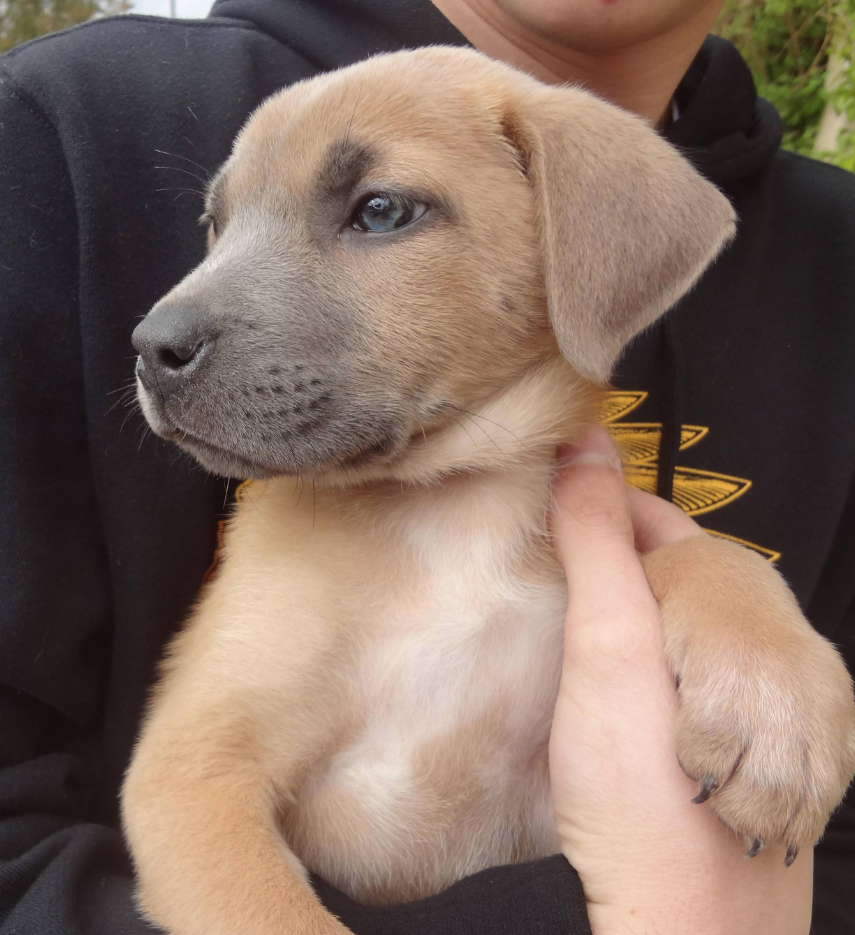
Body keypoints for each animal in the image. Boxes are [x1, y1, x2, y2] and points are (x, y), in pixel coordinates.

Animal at [122, 45, 855, 935]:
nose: (151, 348)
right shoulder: (194, 767)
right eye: (216, 224)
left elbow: (711, 552)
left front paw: (776, 702)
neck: (452, 504)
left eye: (379, 211)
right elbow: (283, 917)